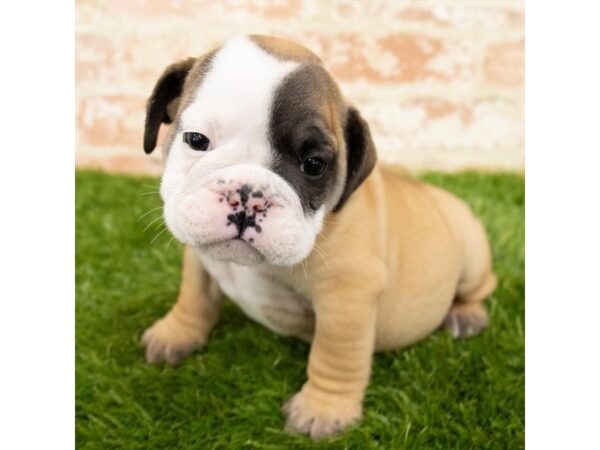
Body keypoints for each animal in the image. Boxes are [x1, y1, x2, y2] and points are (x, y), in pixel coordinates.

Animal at [141, 36, 496, 440]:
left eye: (314, 165)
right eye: (196, 140)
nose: (247, 195)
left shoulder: (346, 298)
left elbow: (335, 354)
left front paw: (323, 409)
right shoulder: (200, 256)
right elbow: (194, 296)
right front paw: (175, 334)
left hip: (471, 255)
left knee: (480, 286)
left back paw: (466, 315)